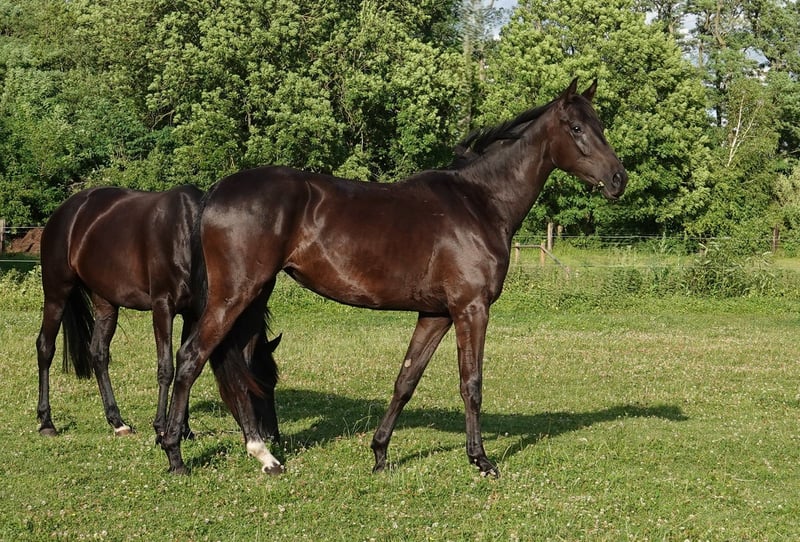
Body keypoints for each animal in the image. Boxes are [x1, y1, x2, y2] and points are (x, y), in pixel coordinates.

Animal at [35, 185, 281, 446]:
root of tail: (66, 211)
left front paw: (184, 429)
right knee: (45, 347)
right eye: (257, 384)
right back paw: (47, 422)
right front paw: (161, 428)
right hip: (56, 294)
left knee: (99, 354)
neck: (190, 237)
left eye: (273, 382)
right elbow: (167, 368)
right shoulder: (163, 306)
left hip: (105, 302)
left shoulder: (192, 314)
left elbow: (187, 363)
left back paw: (118, 422)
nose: (272, 435)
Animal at [159, 78, 628, 477]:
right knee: (192, 358)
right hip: (234, 296)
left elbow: (406, 380)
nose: (618, 179)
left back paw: (264, 454)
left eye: (600, 125)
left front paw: (380, 454)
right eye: (576, 128)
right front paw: (480, 460)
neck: (480, 202)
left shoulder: (436, 315)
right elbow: (471, 384)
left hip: (252, 298)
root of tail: (215, 192)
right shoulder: (471, 309)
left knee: (234, 367)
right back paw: (175, 453)